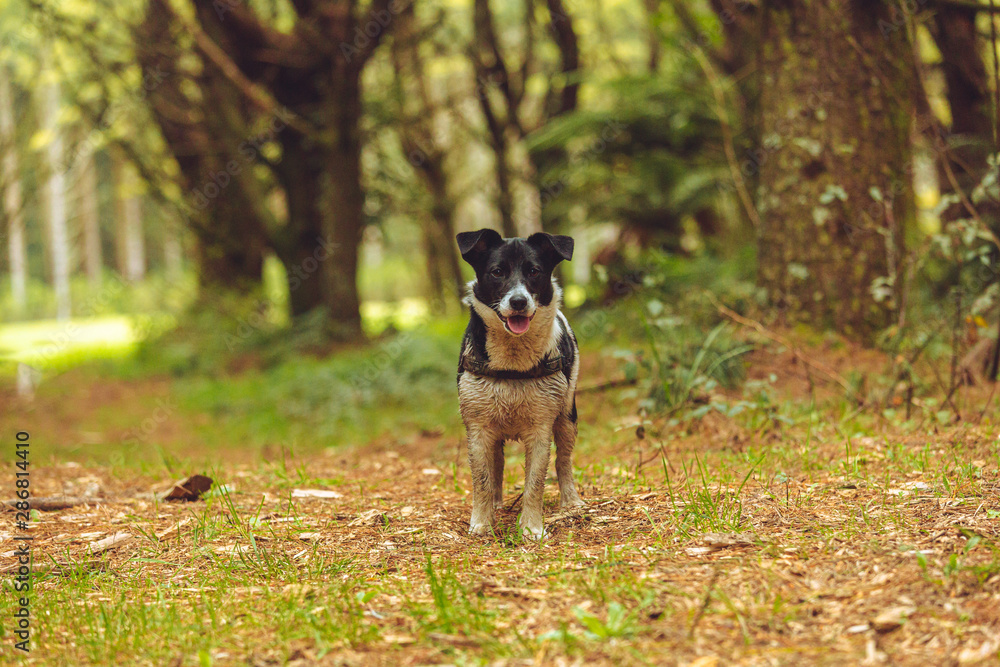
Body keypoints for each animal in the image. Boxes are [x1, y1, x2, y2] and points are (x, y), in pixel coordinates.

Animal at [456, 227, 584, 540]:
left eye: (534, 271)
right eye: (497, 272)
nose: (518, 302)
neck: (511, 365)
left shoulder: (541, 427)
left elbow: (535, 481)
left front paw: (531, 527)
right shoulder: (477, 427)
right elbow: (482, 479)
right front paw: (481, 523)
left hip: (567, 415)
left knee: (564, 460)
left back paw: (571, 501)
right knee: (497, 464)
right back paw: (497, 504)